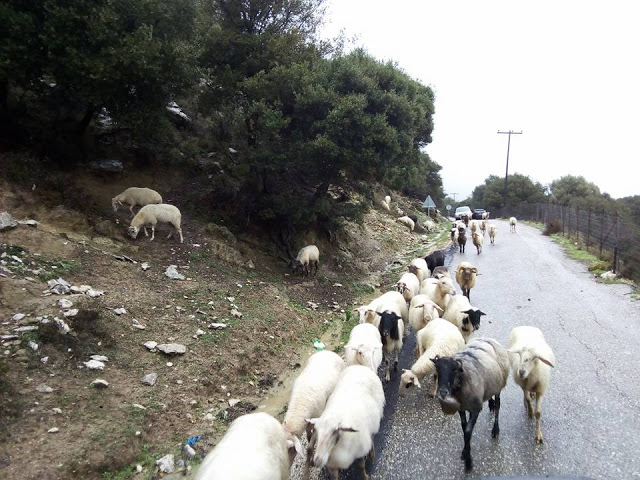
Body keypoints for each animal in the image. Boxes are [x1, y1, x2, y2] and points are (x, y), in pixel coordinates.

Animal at [284, 348, 344, 480]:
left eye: (291, 449)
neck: (300, 404)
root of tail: (327, 351)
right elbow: (308, 433)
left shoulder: (318, 420)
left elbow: (310, 448)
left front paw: (307, 469)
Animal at [430, 340, 510, 470]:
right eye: (437, 368)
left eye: (455, 370)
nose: (442, 392)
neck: (462, 380)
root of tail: (489, 339)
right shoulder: (461, 408)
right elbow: (464, 427)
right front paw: (465, 452)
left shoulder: (475, 408)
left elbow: (468, 431)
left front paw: (468, 461)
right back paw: (490, 403)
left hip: (499, 385)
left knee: (498, 405)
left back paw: (495, 429)